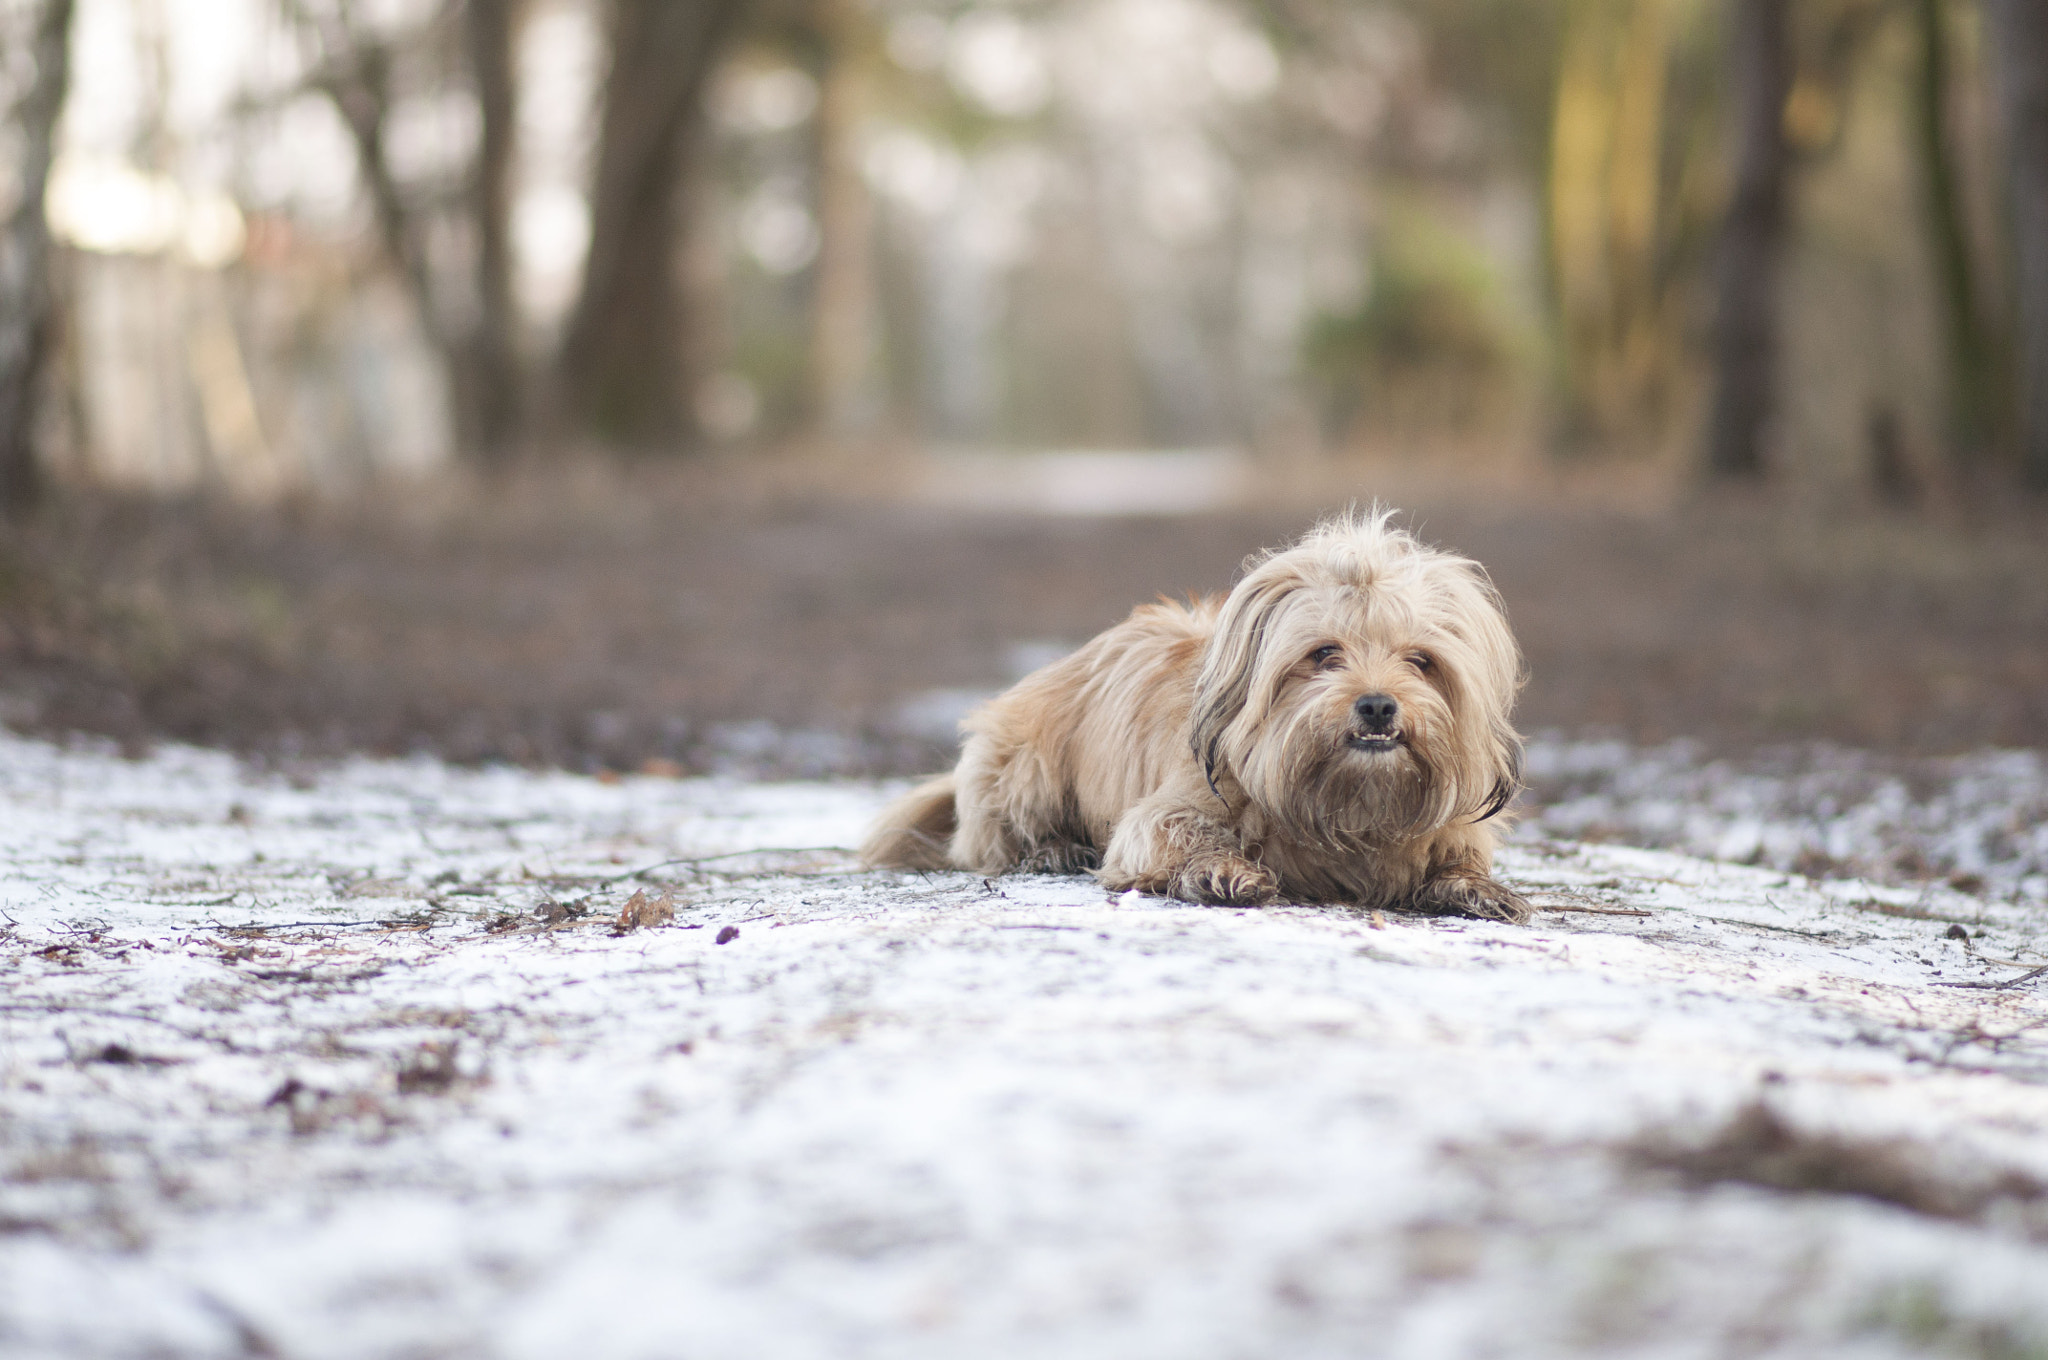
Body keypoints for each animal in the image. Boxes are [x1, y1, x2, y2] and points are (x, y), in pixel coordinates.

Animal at [856, 510, 1531, 925]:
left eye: (1420, 661)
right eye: (1323, 654)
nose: (1377, 705)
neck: (1341, 805)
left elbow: (1459, 859)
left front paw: (1477, 888)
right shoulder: (1162, 815)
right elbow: (1179, 836)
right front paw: (1220, 872)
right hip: (1020, 769)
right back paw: (1054, 850)